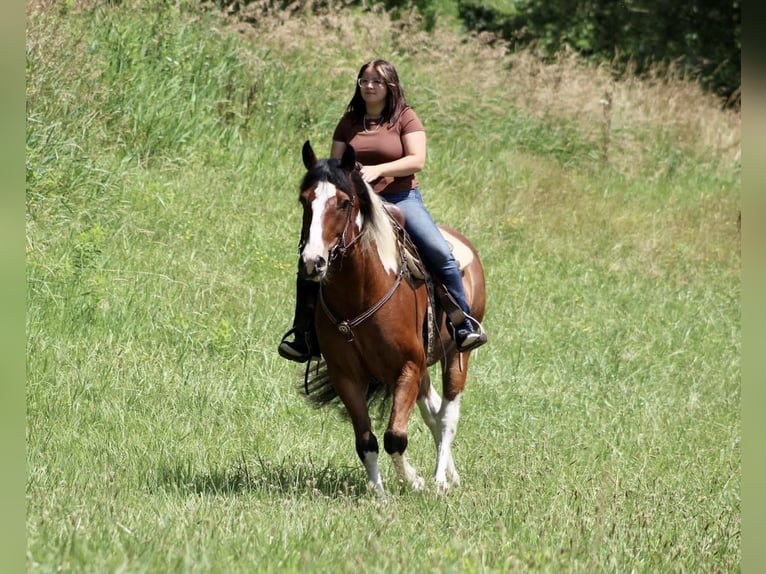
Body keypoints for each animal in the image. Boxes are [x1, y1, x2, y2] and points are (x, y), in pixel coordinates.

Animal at [296, 138, 486, 496]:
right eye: (304, 200)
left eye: (344, 202)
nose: (313, 261)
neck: (361, 294)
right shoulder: (346, 376)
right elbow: (367, 441)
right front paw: (381, 493)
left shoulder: (408, 367)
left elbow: (395, 437)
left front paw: (415, 482)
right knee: (433, 412)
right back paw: (450, 475)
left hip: (457, 355)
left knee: (447, 415)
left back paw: (440, 480)